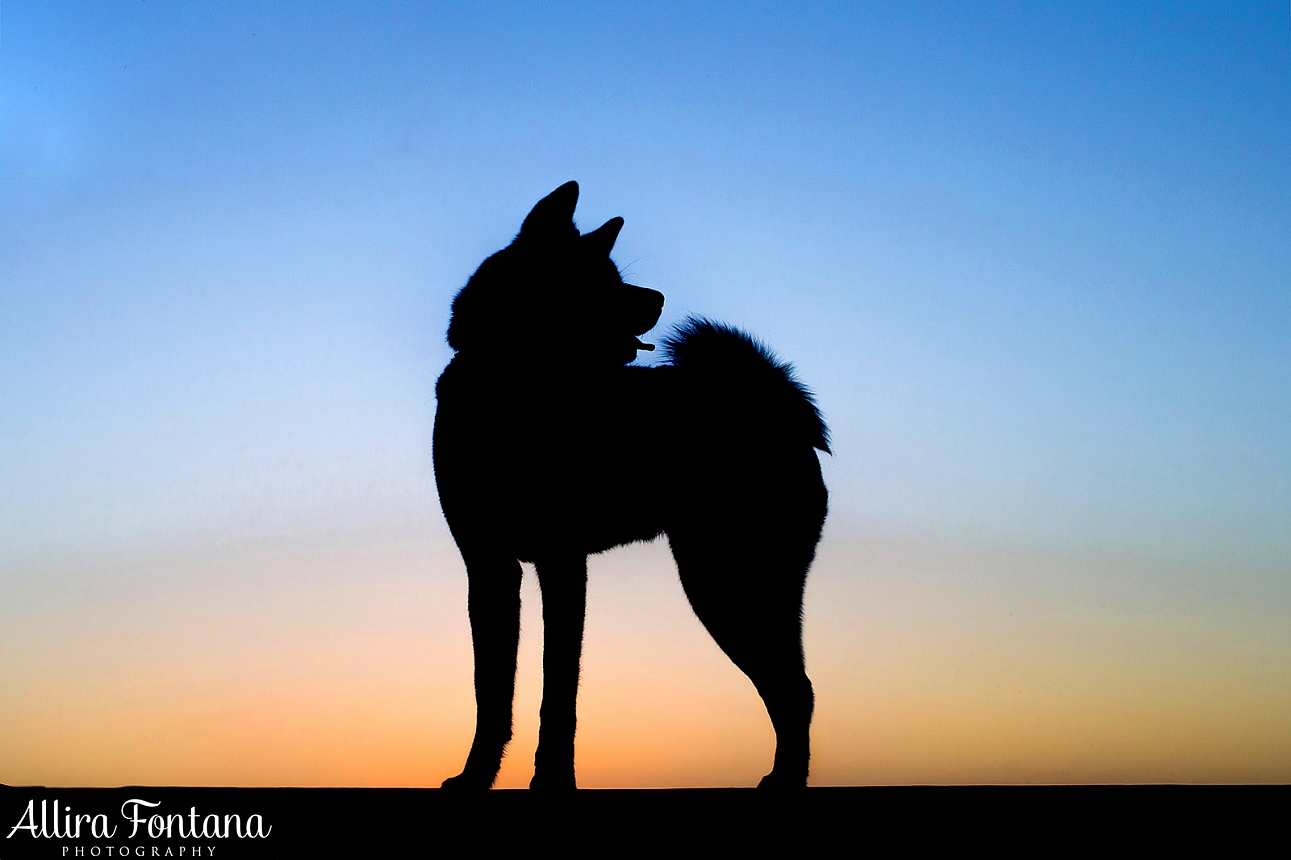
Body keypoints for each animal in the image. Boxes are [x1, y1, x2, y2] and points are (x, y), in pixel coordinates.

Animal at [436, 184, 826, 785]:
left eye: (616, 273)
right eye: (601, 278)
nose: (659, 296)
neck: (516, 382)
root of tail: (774, 407)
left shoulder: (561, 563)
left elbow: (558, 693)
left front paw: (552, 780)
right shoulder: (490, 569)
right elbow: (492, 694)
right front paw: (477, 777)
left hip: (726, 583)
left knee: (793, 689)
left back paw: (785, 781)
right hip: (732, 586)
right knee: (789, 687)